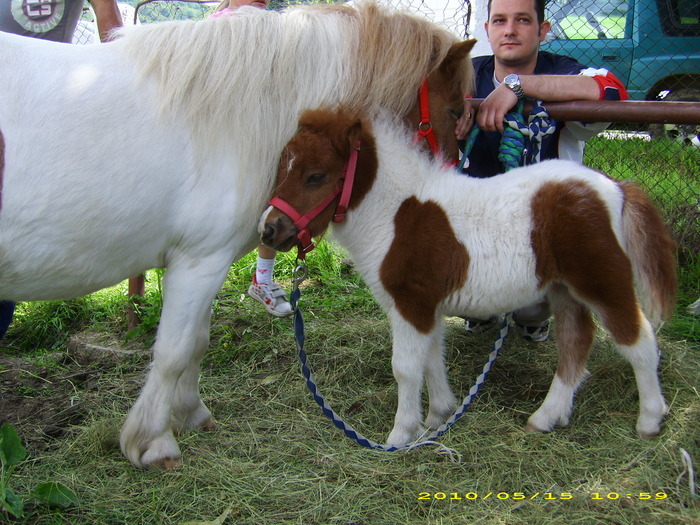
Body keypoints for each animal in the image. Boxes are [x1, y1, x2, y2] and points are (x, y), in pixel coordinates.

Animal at [0, 2, 476, 468]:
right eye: (454, 111)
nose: (452, 190)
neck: (226, 118)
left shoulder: (203, 263)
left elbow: (196, 343)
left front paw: (191, 413)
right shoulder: (199, 261)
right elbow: (172, 352)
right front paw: (153, 442)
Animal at [260, 108, 676, 444]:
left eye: (316, 176)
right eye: (281, 168)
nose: (269, 230)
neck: (394, 214)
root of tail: (616, 188)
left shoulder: (411, 304)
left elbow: (406, 368)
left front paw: (400, 436)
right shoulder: (427, 308)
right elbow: (432, 358)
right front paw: (438, 417)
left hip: (602, 283)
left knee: (638, 341)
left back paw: (650, 419)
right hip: (564, 289)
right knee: (576, 343)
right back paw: (546, 417)